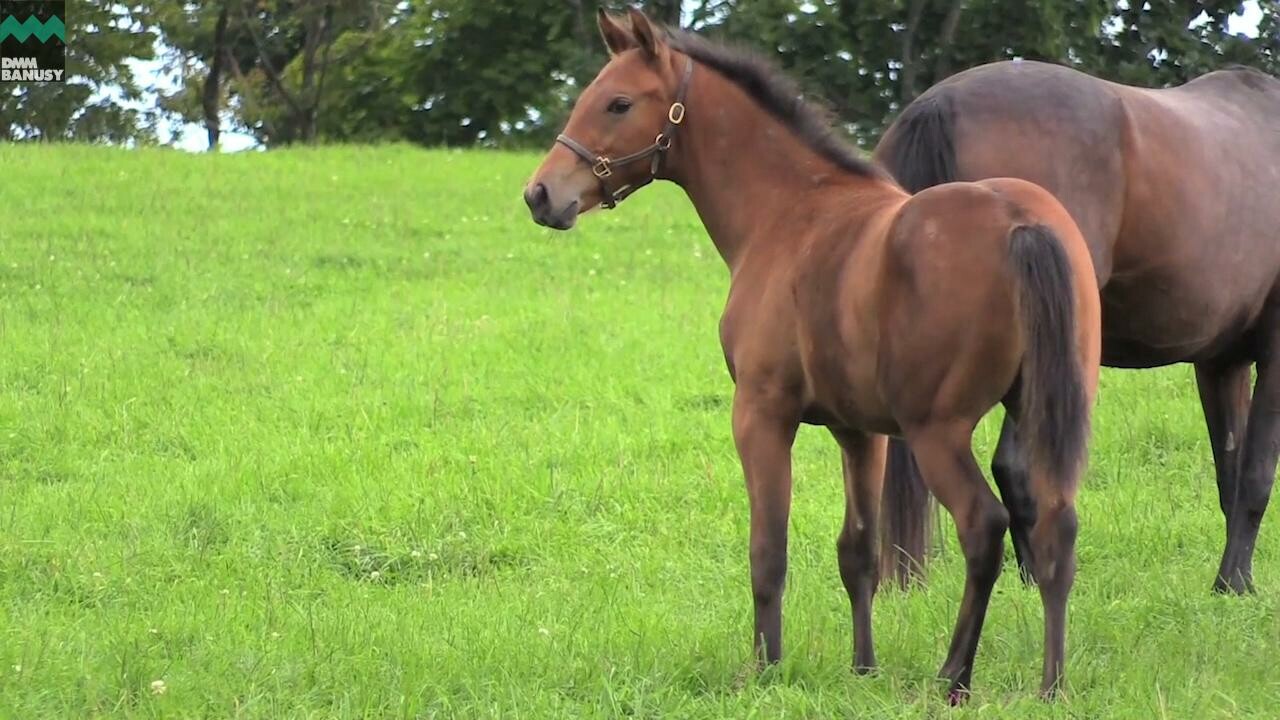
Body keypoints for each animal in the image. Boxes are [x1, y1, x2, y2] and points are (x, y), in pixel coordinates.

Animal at [519, 8, 1100, 696]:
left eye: (618, 103)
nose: (541, 195)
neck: (790, 213)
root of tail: (1021, 223)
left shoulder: (761, 414)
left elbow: (768, 550)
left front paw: (764, 669)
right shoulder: (861, 432)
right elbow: (859, 553)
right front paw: (863, 668)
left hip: (938, 431)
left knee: (983, 527)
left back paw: (953, 677)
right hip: (1039, 413)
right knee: (1055, 524)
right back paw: (1052, 683)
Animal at [875, 57, 1280, 594]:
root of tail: (941, 104)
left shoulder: (1220, 364)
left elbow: (1229, 473)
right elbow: (1256, 473)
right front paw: (1234, 583)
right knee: (1018, 467)